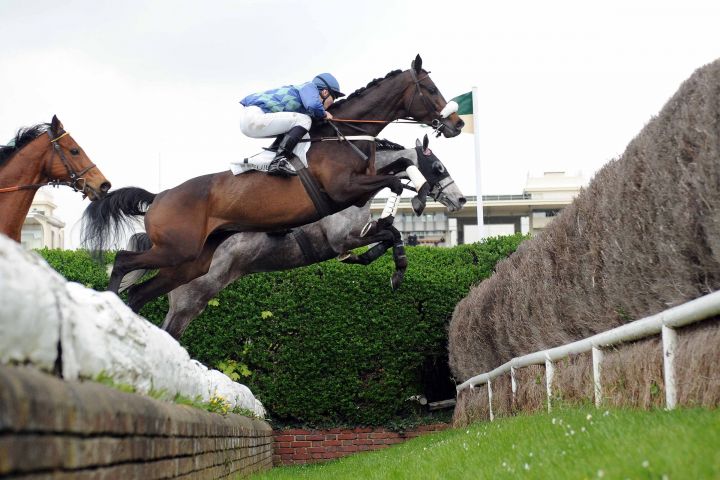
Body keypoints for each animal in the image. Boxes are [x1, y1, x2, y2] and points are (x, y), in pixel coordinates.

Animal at [81, 55, 464, 312]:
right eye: (431, 89)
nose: (458, 123)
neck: (347, 134)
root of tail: (159, 196)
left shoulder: (358, 191)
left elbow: (395, 203)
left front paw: (394, 264)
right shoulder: (343, 192)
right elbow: (398, 180)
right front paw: (416, 199)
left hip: (191, 261)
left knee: (140, 293)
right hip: (177, 249)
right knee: (122, 260)